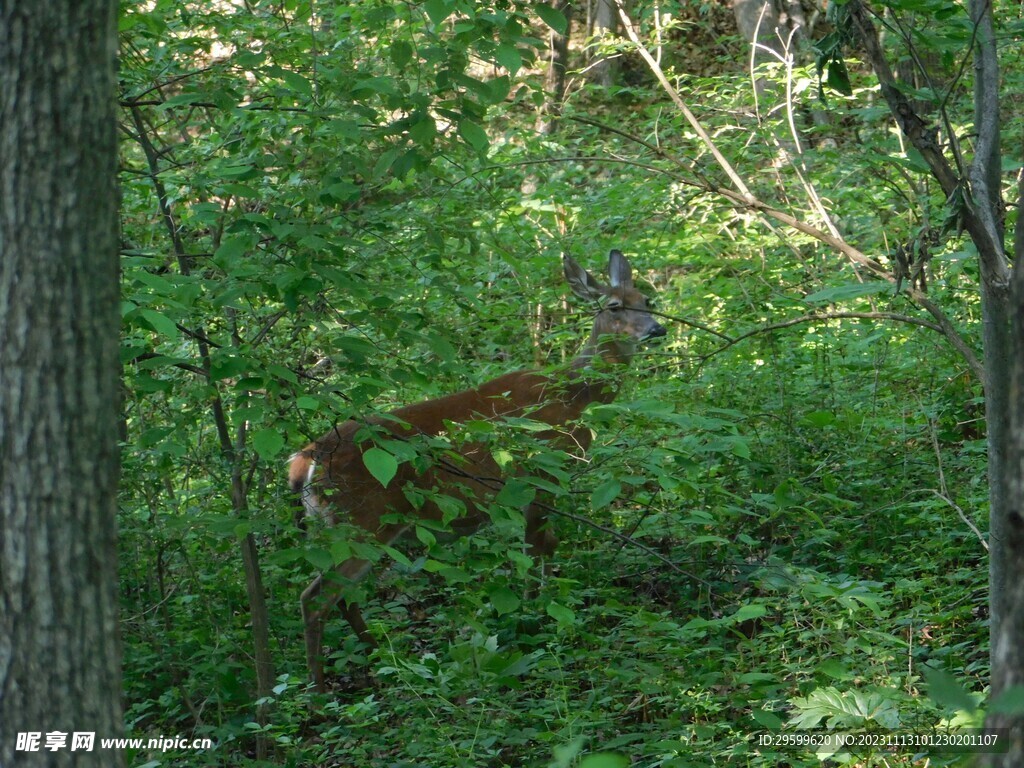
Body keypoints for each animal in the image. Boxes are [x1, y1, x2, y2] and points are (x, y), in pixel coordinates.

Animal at [290, 250, 671, 692]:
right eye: (613, 306)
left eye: (647, 300)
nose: (657, 329)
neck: (573, 394)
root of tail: (306, 460)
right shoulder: (539, 473)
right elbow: (536, 550)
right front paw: (534, 618)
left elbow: (545, 545)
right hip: (363, 517)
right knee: (316, 598)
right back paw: (320, 691)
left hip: (341, 526)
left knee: (342, 597)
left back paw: (384, 660)